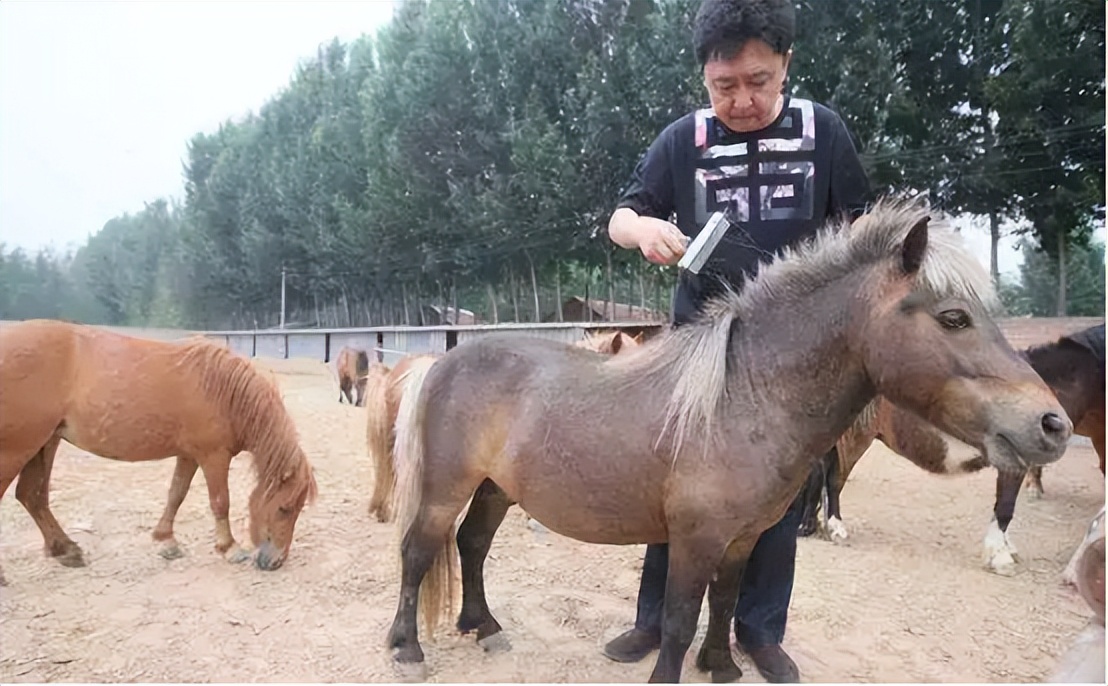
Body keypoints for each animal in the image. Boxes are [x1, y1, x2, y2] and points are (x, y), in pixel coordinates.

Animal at [0, 320, 318, 584]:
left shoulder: (189, 455)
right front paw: (230, 548)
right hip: (18, 449)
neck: (222, 391)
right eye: (285, 508)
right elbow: (220, 502)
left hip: (44, 443)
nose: (275, 562)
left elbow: (176, 493)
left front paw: (167, 541)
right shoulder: (213, 455)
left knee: (32, 496)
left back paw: (66, 550)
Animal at [383, 197, 1073, 683]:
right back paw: (408, 647)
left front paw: (723, 666)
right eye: (953, 317)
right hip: (445, 489)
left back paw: (484, 627)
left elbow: (725, 602)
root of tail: (444, 361)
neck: (744, 399)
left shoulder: (743, 538)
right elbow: (679, 619)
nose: (1052, 425)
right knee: (419, 552)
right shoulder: (694, 539)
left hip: (496, 489)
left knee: (471, 547)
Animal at [797, 322, 1105, 577]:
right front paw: (999, 557)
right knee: (833, 479)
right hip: (855, 437)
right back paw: (833, 527)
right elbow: (1005, 508)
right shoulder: (1013, 464)